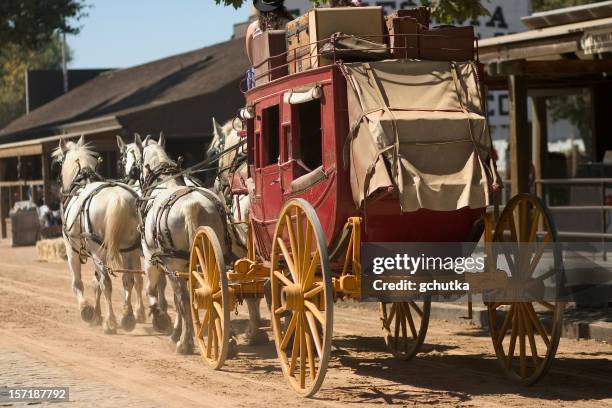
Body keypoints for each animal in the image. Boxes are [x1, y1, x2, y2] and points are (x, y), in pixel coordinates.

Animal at [54, 137, 145, 334]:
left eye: (59, 161)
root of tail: (118, 198)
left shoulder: (71, 249)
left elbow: (78, 283)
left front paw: (87, 310)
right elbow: (96, 283)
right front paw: (96, 313)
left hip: (98, 251)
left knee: (107, 282)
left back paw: (111, 322)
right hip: (128, 248)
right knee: (129, 280)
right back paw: (128, 317)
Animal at [135, 134, 228, 354]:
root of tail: (192, 206)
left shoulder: (153, 259)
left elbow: (154, 291)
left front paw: (162, 320)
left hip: (174, 263)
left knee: (186, 299)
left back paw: (185, 343)